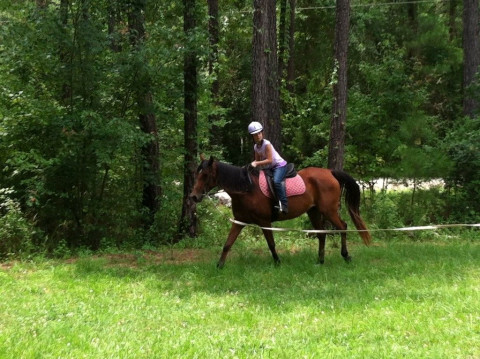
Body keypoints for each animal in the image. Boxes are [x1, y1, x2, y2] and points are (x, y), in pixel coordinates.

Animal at [188, 156, 372, 268]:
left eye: (205, 175)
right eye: (196, 174)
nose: (193, 196)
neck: (246, 189)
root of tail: (330, 172)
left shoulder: (264, 222)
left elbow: (271, 244)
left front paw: (277, 262)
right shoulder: (239, 222)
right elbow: (227, 244)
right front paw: (219, 266)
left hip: (329, 210)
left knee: (343, 226)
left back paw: (346, 256)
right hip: (313, 211)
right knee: (322, 234)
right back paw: (320, 261)